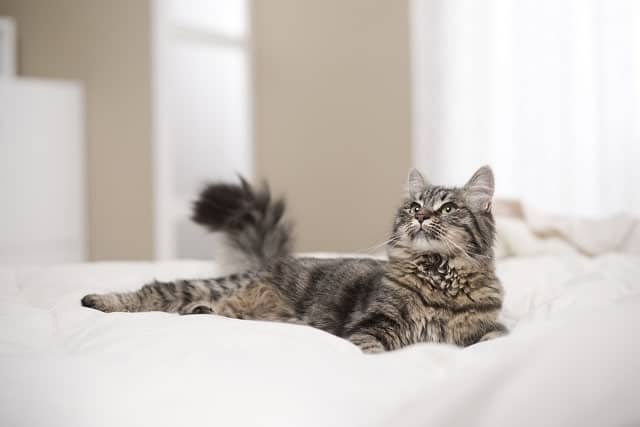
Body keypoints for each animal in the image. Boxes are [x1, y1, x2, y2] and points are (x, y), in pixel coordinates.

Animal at [82, 167, 508, 354]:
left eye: (448, 208)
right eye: (415, 207)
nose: (420, 218)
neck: (439, 278)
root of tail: (272, 260)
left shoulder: (488, 326)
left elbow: (493, 339)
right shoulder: (373, 325)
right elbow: (368, 350)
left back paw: (201, 312)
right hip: (212, 285)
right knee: (157, 291)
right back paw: (96, 300)